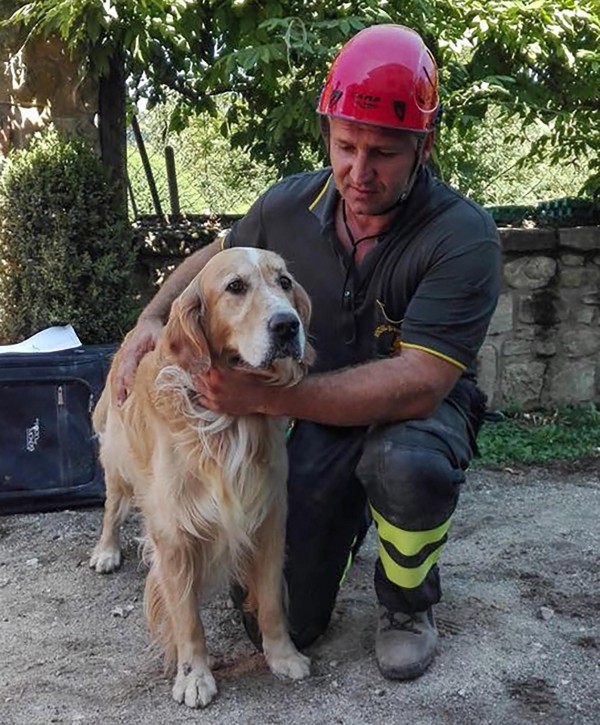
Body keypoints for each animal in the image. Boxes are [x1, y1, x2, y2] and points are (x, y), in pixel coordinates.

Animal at [90, 247, 314, 708]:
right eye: (235, 287)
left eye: (284, 282)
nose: (287, 325)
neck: (229, 423)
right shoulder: (175, 533)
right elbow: (187, 618)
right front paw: (194, 677)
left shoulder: (268, 516)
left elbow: (271, 600)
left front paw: (282, 655)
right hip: (118, 465)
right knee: (111, 508)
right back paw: (106, 550)